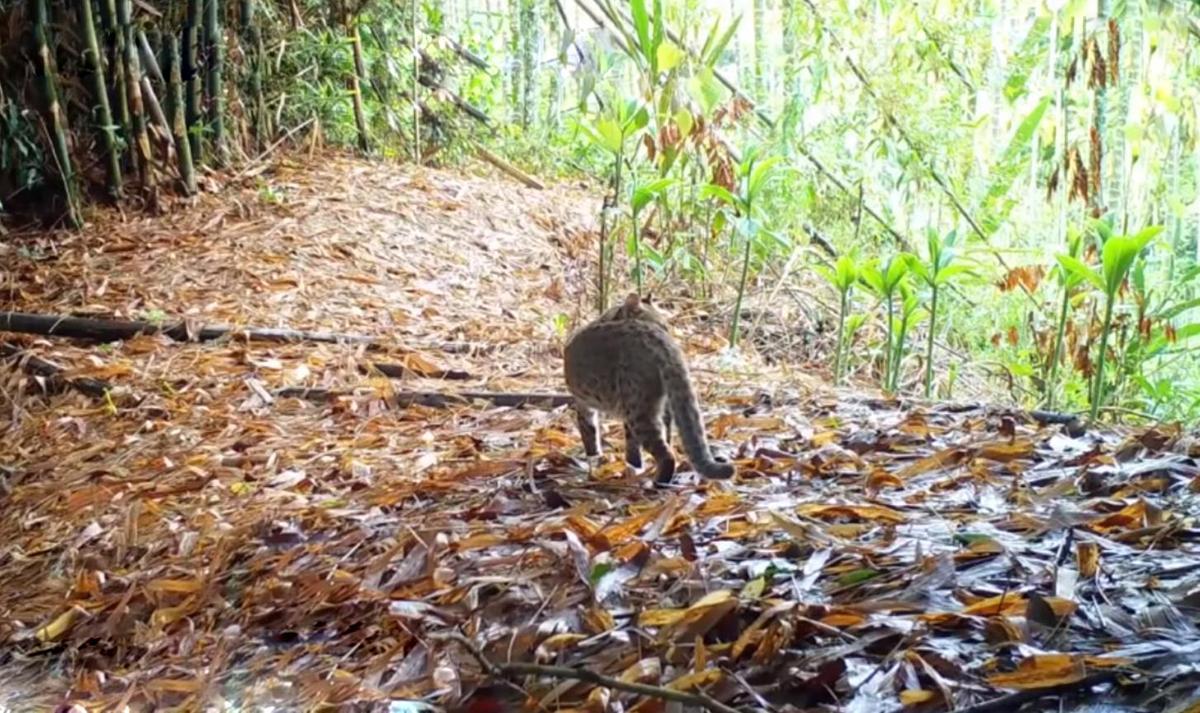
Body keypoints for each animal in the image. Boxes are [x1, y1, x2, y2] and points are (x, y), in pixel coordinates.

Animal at [559, 290, 729, 482]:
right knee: (667, 440)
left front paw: (594, 462)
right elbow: (630, 445)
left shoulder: (583, 403)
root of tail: (663, 345)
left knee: (667, 454)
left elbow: (590, 435)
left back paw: (658, 482)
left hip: (638, 408)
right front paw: (632, 466)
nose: (668, 334)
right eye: (663, 326)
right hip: (661, 404)